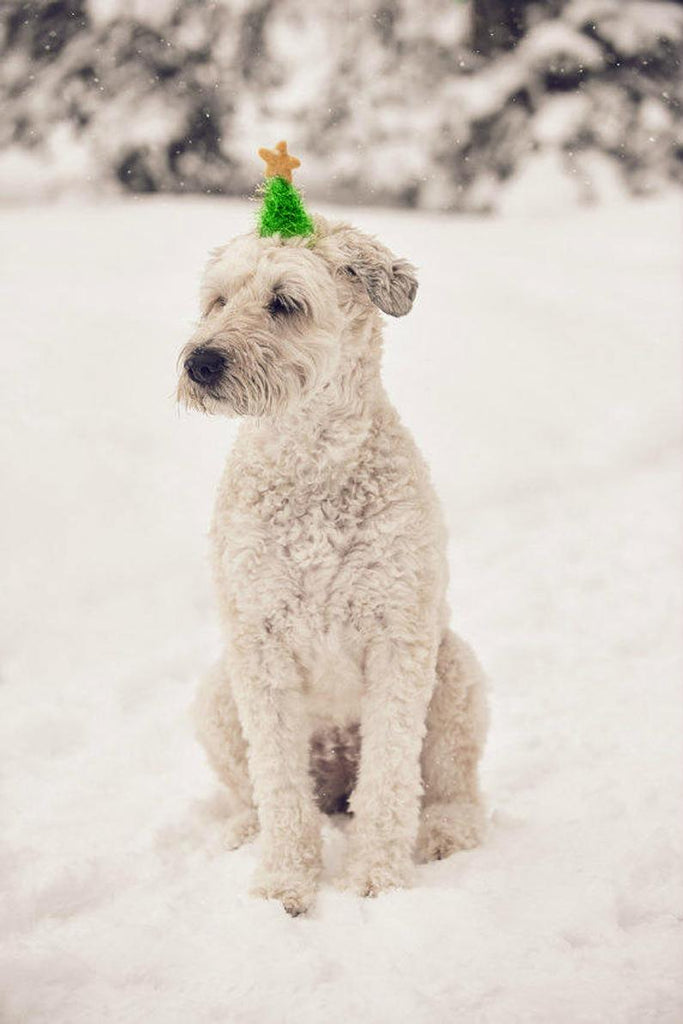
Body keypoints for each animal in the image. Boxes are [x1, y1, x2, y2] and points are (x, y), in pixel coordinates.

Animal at [176, 211, 485, 917]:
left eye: (284, 303)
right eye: (217, 300)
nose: (199, 361)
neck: (311, 463)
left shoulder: (398, 639)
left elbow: (391, 781)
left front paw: (377, 881)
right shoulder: (258, 646)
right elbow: (281, 789)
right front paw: (283, 886)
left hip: (455, 673)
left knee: (451, 787)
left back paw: (446, 832)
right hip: (217, 694)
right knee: (258, 793)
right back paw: (245, 830)